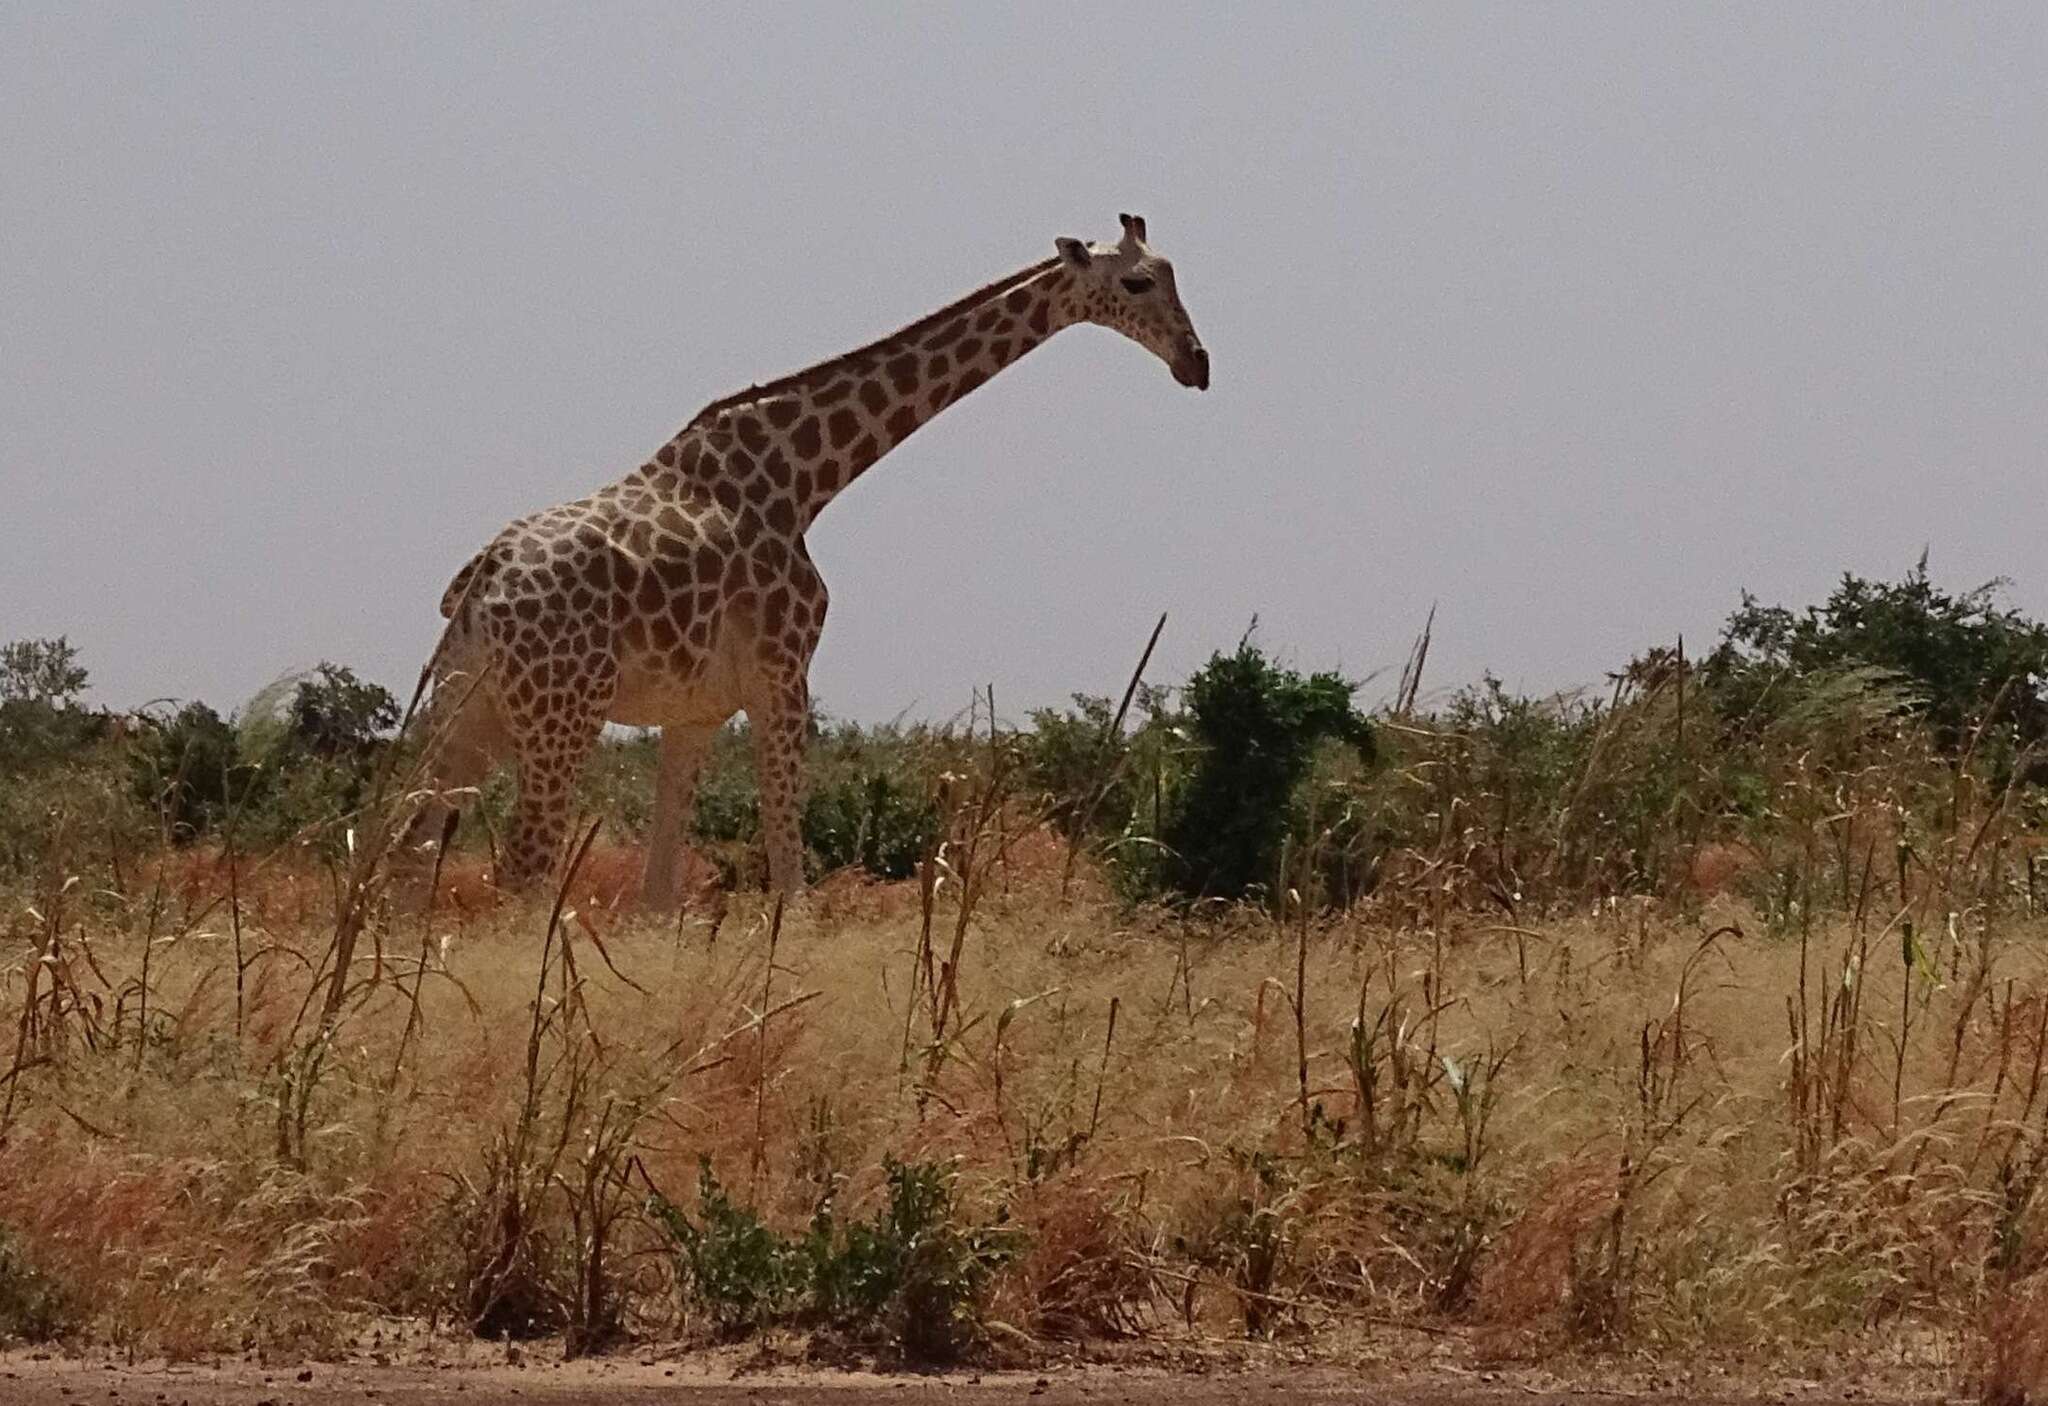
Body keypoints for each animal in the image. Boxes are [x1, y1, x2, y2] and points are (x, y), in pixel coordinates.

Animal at [413, 214, 1204, 908]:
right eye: (1136, 282)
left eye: (1174, 273)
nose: (1196, 363)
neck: (805, 479)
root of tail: (482, 582)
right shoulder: (783, 674)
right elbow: (789, 867)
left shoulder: (696, 710)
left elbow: (660, 892)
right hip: (562, 716)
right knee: (521, 869)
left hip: (467, 711)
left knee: (412, 849)